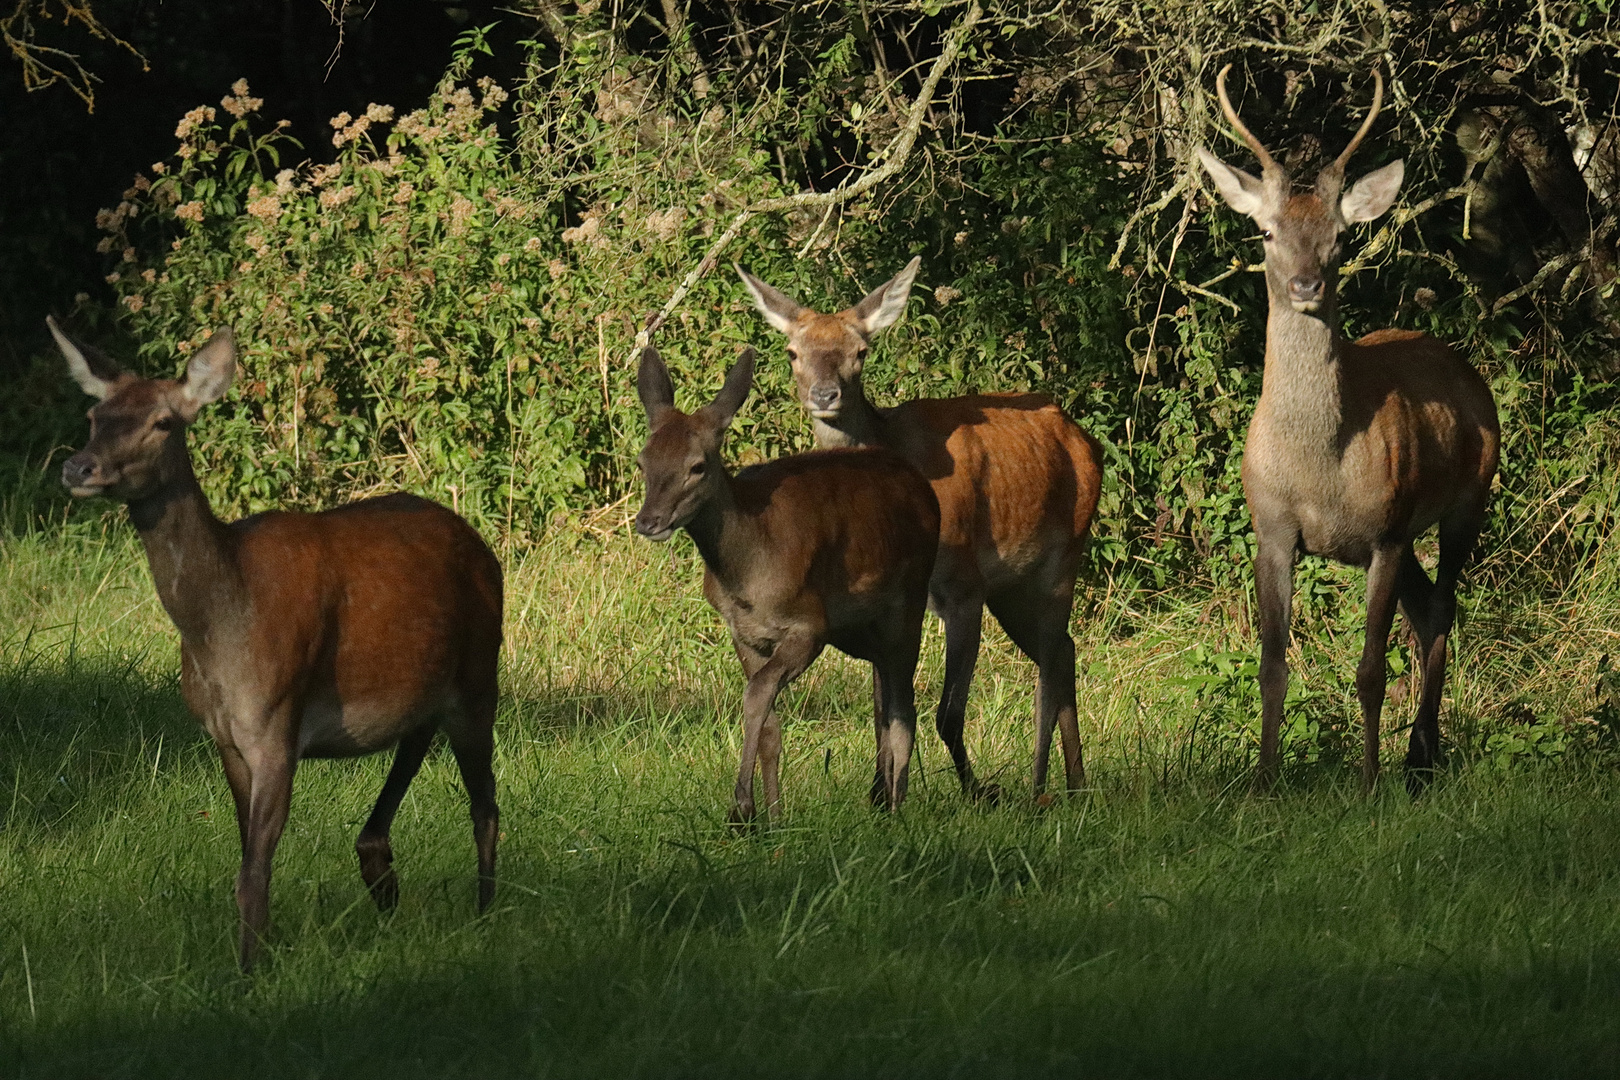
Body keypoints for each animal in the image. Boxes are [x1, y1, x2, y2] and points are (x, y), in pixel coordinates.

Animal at [50, 318, 502, 971]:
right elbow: (245, 858)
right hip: (425, 680)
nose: (79, 468)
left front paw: (249, 970)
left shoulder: (277, 724)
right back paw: (383, 881)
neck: (220, 632)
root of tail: (485, 547)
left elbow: (253, 870)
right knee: (416, 742)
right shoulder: (224, 737)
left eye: (163, 422)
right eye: (94, 415)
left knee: (485, 803)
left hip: (480, 674)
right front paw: (254, 954)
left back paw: (486, 912)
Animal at [631, 344, 939, 819]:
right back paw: (881, 796)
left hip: (909, 599)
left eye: (697, 466)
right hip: (863, 629)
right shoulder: (746, 634)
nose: (649, 521)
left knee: (904, 708)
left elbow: (756, 694)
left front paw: (742, 807)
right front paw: (774, 816)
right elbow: (770, 723)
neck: (748, 573)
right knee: (884, 696)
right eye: (643, 461)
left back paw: (897, 807)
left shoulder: (809, 624)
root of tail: (926, 490)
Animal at [741, 259, 1108, 803]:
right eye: (792, 352)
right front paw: (879, 795)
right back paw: (1077, 782)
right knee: (1063, 651)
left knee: (1050, 660)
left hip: (1064, 555)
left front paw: (975, 791)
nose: (824, 395)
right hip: (1012, 587)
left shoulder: (962, 586)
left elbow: (946, 713)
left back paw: (1043, 785)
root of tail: (1085, 439)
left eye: (860, 351)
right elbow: (883, 708)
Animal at [1198, 67, 1496, 793]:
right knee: (1424, 609)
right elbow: (1272, 665)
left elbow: (1368, 670)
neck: (1319, 469)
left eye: (1340, 235)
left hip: (1468, 499)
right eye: (1267, 231)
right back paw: (1421, 751)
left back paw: (1419, 755)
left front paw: (1366, 783)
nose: (1306, 283)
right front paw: (1263, 781)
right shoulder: (1273, 529)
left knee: (1442, 609)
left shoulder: (1386, 530)